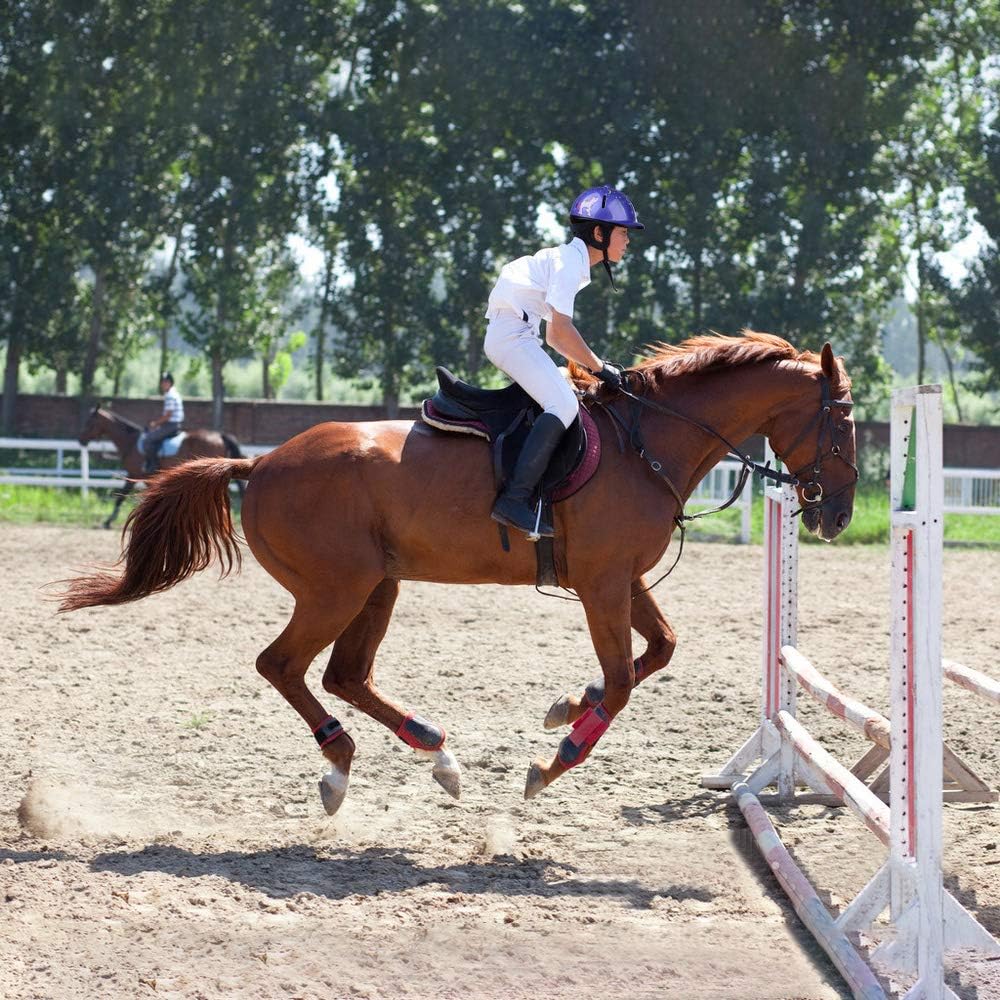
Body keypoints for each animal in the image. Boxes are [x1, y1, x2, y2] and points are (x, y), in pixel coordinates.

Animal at [77, 406, 245, 529]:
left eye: (90, 422)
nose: (81, 440)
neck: (130, 442)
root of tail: (220, 435)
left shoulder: (133, 474)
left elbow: (121, 497)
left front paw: (108, 521)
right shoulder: (146, 479)